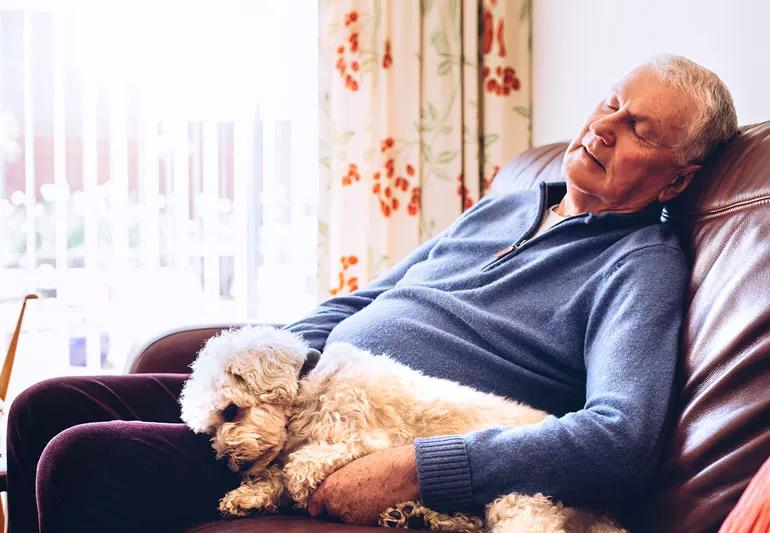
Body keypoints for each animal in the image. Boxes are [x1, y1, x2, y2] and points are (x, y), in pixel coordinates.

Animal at [180, 324, 624, 532]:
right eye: (209, 429)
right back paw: (421, 516)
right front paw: (249, 496)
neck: (310, 386)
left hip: (520, 499)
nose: (227, 460)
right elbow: (274, 471)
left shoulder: (364, 438)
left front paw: (294, 486)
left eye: (231, 411)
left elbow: (297, 467)